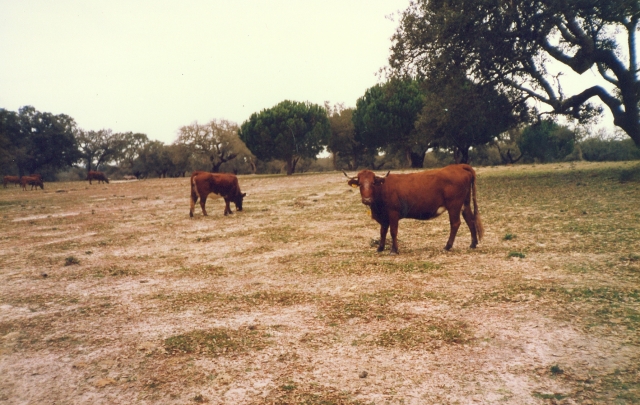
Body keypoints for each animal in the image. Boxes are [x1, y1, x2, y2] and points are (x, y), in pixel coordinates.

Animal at [348, 163, 482, 252]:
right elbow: (382, 231)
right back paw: (473, 244)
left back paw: (447, 246)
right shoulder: (384, 217)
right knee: (470, 219)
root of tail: (459, 166)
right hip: (465, 203)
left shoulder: (393, 213)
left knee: (455, 223)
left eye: (372, 183)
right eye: (360, 184)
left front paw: (394, 250)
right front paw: (380, 248)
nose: (367, 200)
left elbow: (393, 231)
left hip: (454, 205)